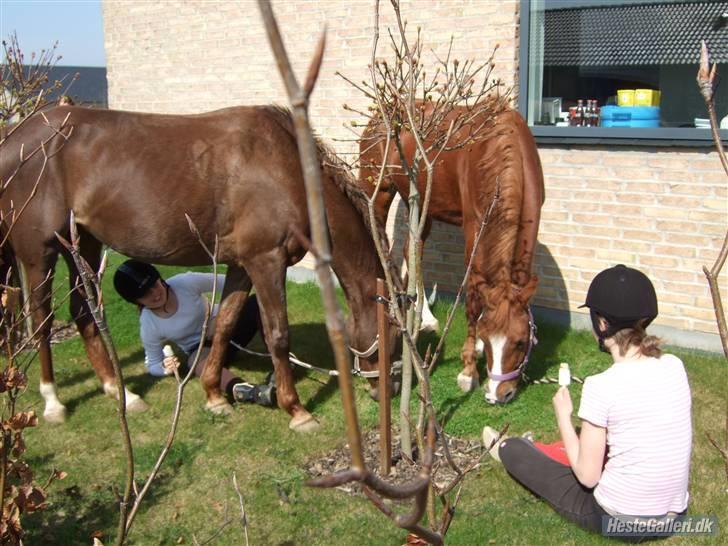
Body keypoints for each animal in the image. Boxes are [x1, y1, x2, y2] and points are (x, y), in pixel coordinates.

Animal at [0, 104, 396, 432]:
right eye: (391, 332)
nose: (386, 391)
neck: (287, 171)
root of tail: (13, 139)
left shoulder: (240, 264)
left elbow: (224, 324)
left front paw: (214, 396)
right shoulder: (266, 261)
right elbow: (278, 335)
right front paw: (297, 411)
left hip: (83, 245)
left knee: (84, 312)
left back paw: (122, 393)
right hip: (40, 253)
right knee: (42, 320)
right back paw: (53, 402)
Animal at [362, 102, 544, 402]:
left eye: (520, 342)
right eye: (488, 338)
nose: (498, 394)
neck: (501, 147)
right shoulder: (474, 230)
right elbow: (472, 298)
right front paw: (469, 370)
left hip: (420, 200)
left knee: (413, 250)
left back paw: (424, 316)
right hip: (378, 190)